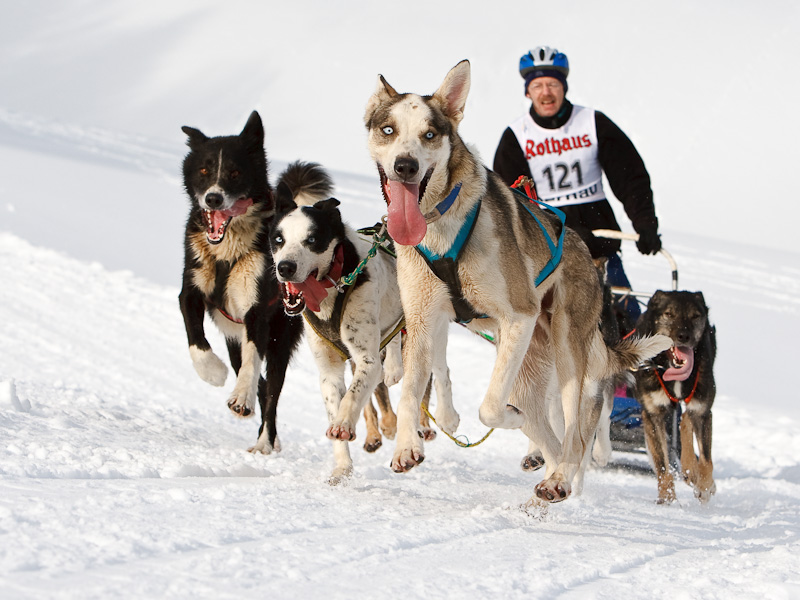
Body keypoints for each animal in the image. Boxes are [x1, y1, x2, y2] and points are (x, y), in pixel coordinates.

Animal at [180, 110, 332, 452]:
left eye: (235, 173)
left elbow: (252, 362)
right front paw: (212, 372)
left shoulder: (257, 310)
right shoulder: (190, 291)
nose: (213, 198)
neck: (226, 251)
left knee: (271, 390)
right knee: (261, 386)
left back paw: (265, 442)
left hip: (279, 342)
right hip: (235, 336)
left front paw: (240, 397)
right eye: (204, 170)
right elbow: (195, 339)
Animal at [364, 59, 676, 502]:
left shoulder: (519, 316)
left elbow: (491, 407)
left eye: (430, 134)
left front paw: (505, 417)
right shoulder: (423, 319)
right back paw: (552, 477)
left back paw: (561, 477)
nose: (405, 165)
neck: (442, 227)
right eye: (388, 130)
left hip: (567, 355)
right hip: (528, 367)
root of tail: (587, 255)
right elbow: (409, 392)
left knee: (575, 435)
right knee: (554, 438)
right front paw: (407, 447)